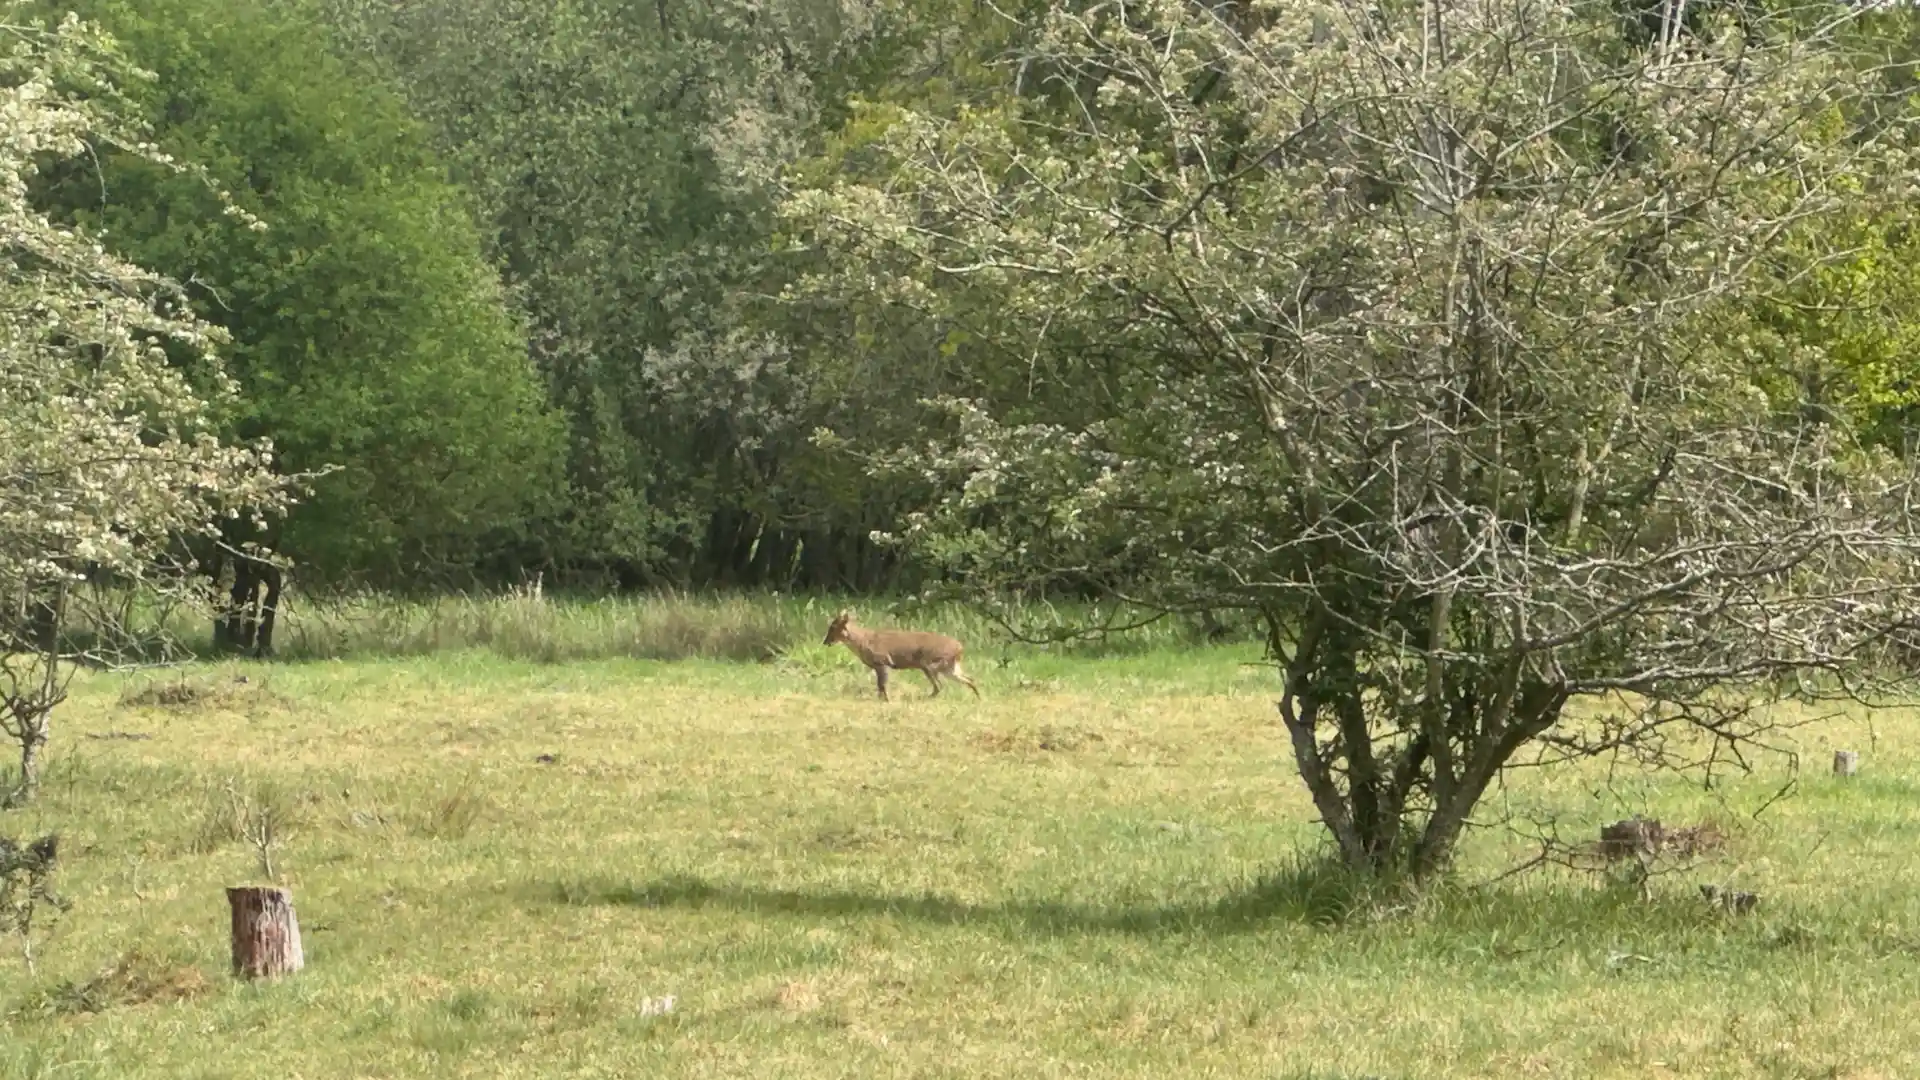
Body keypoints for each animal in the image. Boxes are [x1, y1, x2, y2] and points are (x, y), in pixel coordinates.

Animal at [822, 609, 980, 702]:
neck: (862, 642)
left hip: (930, 664)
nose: (825, 642)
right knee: (969, 679)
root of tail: (960, 648)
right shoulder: (878, 665)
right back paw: (978, 698)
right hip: (949, 667)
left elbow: (882, 685)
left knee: (940, 685)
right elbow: (880, 685)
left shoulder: (883, 661)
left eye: (833, 627)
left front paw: (887, 700)